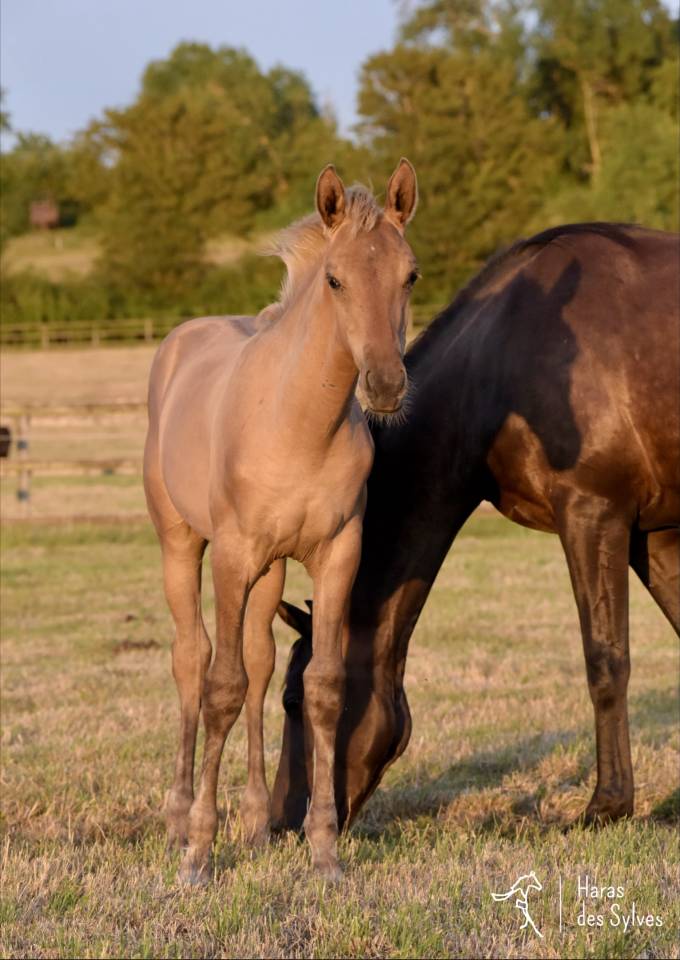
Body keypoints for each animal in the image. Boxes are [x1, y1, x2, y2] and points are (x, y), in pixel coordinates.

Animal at [143, 159, 419, 883]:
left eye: (410, 275)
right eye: (335, 279)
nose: (385, 387)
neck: (298, 426)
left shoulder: (337, 554)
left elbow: (319, 685)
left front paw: (323, 852)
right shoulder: (233, 555)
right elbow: (221, 686)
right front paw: (198, 852)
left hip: (269, 574)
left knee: (260, 662)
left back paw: (256, 825)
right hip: (182, 545)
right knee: (193, 659)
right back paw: (179, 816)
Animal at [270, 223, 680, 834]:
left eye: (294, 701)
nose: (281, 823)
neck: (501, 362)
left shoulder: (594, 513)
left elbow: (605, 660)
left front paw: (607, 805)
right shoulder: (649, 533)